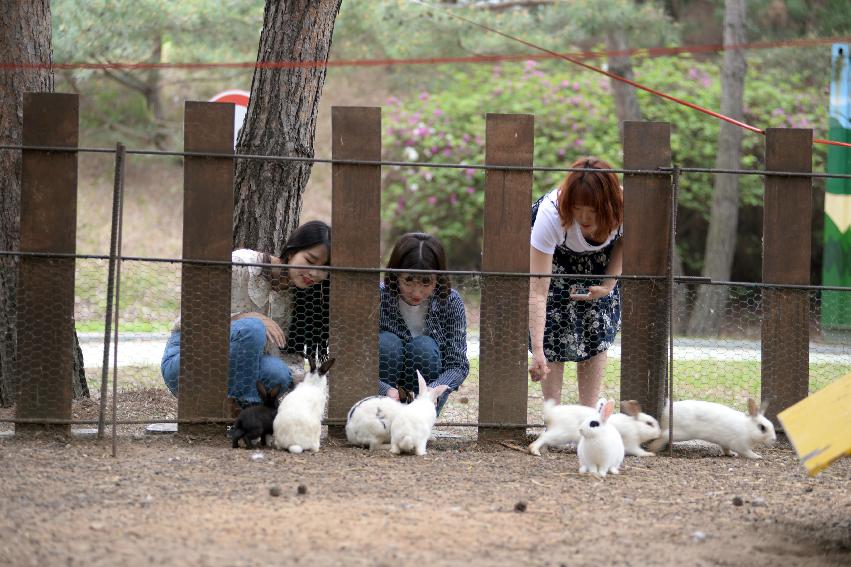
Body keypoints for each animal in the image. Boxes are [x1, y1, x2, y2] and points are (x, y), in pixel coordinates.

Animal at [648, 398, 776, 460]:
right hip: (681, 433)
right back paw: (654, 448)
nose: (774, 439)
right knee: (663, 435)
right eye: (762, 428)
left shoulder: (725, 443)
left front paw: (731, 454)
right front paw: (757, 456)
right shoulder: (741, 445)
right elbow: (747, 453)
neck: (748, 428)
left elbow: (726, 449)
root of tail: (667, 411)